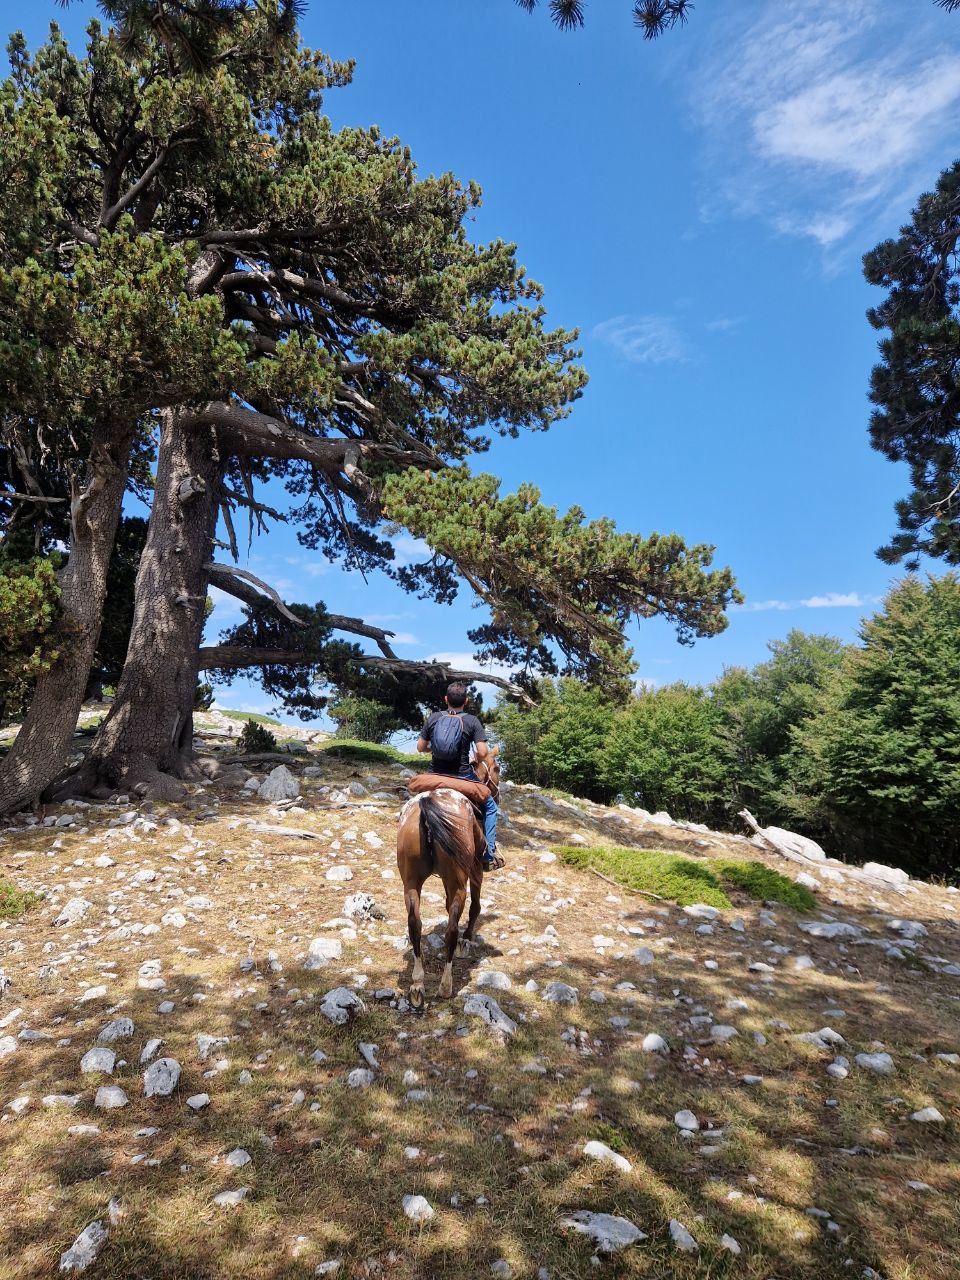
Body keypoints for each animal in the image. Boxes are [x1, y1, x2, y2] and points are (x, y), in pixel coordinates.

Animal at [396, 746, 500, 1008]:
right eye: (497, 767)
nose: (497, 794)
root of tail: (427, 803)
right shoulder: (476, 871)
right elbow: (476, 907)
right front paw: (467, 941)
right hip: (459, 882)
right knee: (451, 930)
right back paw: (445, 985)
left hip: (411, 883)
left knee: (414, 924)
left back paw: (417, 985)